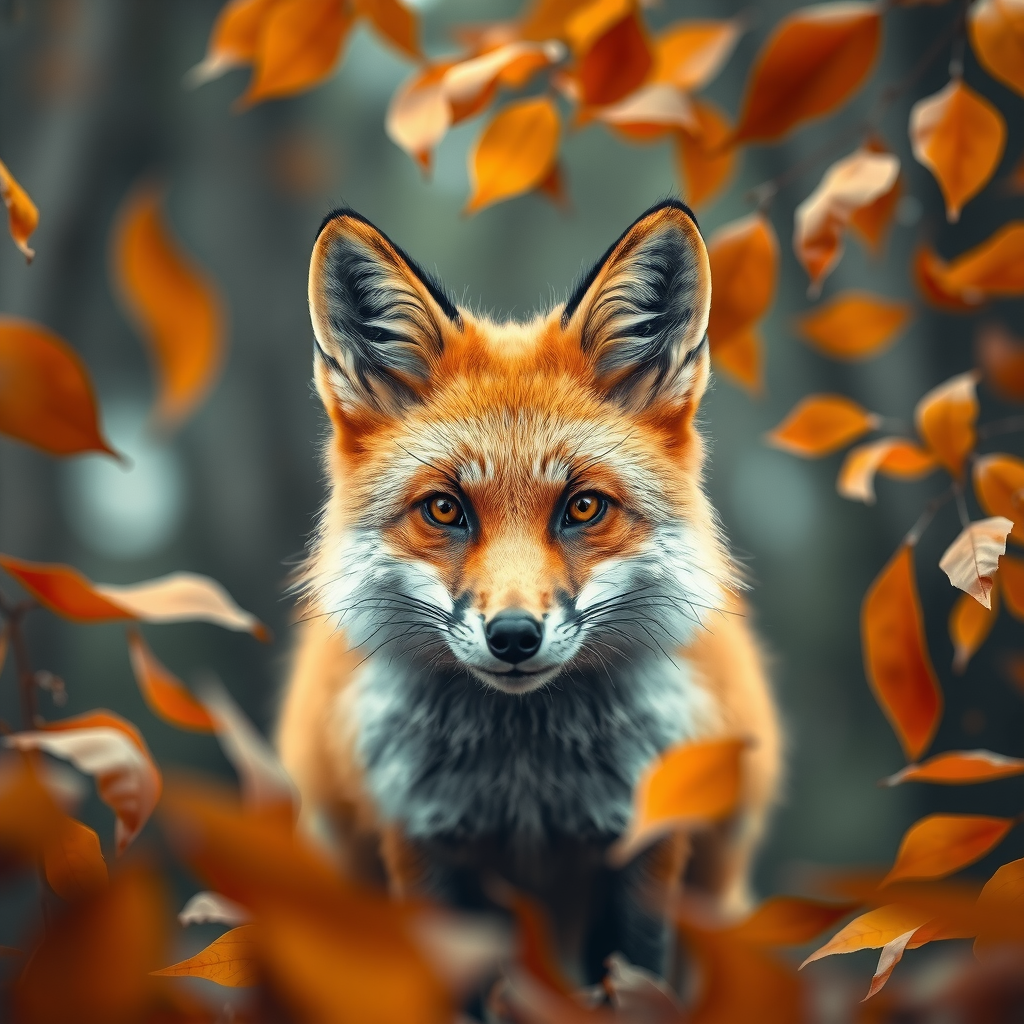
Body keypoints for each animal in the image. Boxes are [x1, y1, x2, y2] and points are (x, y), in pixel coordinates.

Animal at [277, 199, 782, 984]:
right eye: (445, 509)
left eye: (583, 507)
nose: (513, 636)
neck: (527, 786)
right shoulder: (419, 844)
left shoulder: (647, 852)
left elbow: (634, 982)